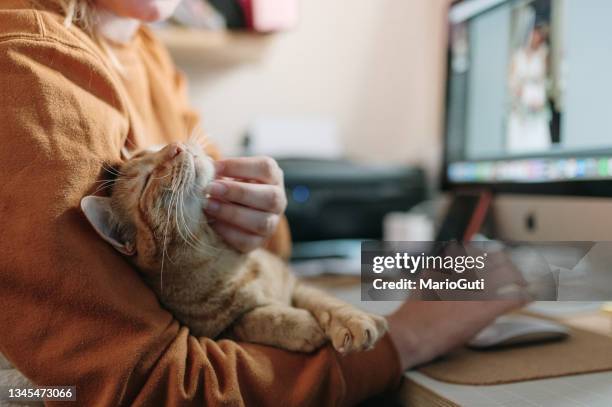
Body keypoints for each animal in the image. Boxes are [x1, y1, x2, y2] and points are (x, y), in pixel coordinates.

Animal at [81, 140, 388, 354]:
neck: (224, 261)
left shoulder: (295, 283)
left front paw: (354, 321)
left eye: (157, 147)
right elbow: (256, 318)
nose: (176, 146)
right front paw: (302, 325)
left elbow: (326, 301)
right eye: (146, 181)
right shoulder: (215, 332)